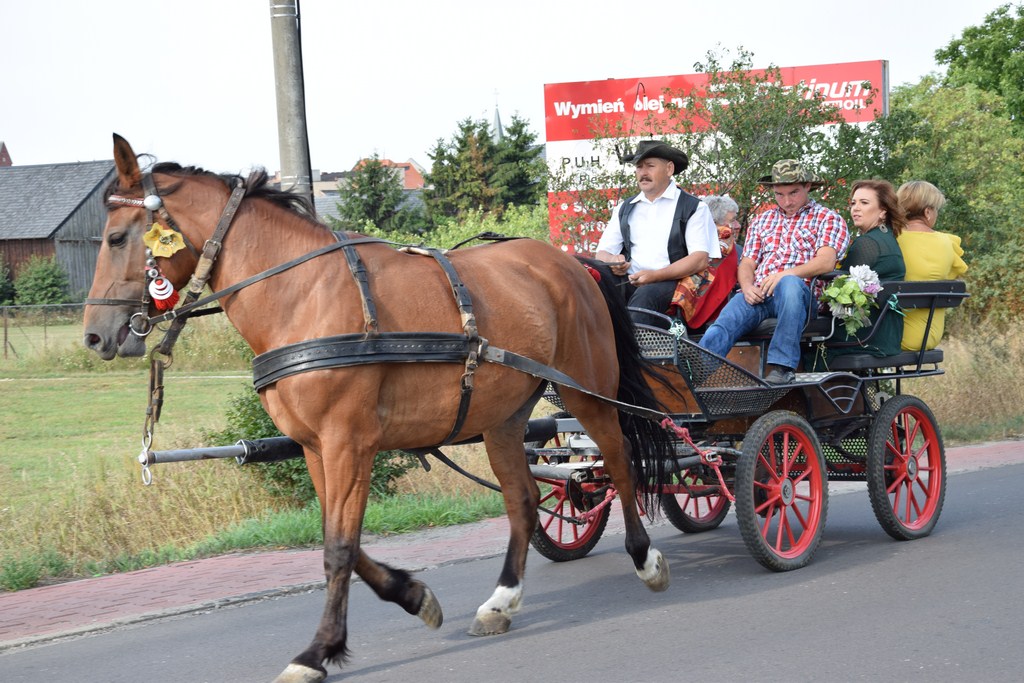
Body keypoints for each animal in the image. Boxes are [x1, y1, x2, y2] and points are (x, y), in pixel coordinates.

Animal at [81, 135, 671, 683]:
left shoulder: (349, 442)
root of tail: (573, 262)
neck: (302, 295)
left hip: (587, 392)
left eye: (116, 237)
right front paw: (412, 595)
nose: (94, 335)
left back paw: (645, 558)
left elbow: (339, 548)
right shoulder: (317, 447)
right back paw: (501, 600)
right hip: (503, 417)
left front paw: (317, 652)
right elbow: (339, 538)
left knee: (618, 458)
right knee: (524, 499)